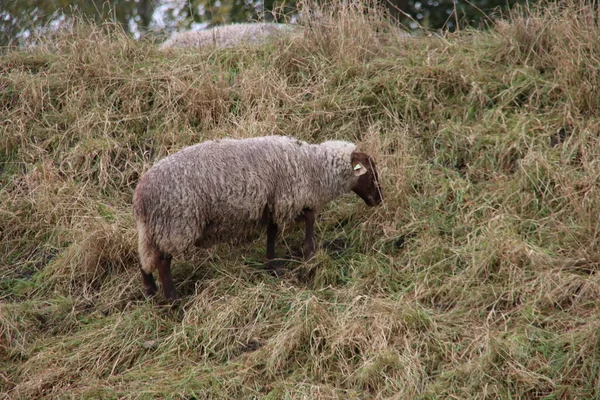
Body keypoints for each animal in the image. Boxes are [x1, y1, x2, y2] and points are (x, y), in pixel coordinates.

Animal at [133, 135, 382, 300]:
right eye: (370, 173)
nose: (379, 200)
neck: (312, 166)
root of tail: (141, 198)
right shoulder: (288, 198)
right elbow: (309, 218)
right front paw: (309, 253)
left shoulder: (271, 203)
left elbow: (272, 230)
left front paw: (271, 263)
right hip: (176, 224)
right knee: (163, 262)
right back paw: (172, 298)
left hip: (151, 230)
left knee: (145, 258)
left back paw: (150, 291)